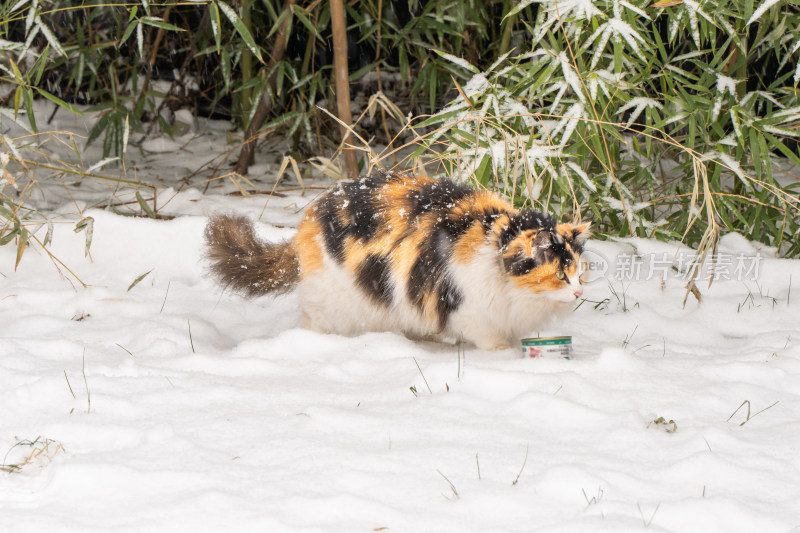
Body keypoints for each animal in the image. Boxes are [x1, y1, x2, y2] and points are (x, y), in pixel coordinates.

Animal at [206, 170, 592, 350]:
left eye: (579, 274)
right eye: (560, 275)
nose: (578, 294)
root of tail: (310, 216)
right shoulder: (468, 309)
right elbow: (491, 339)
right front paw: (506, 355)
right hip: (334, 301)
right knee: (313, 321)